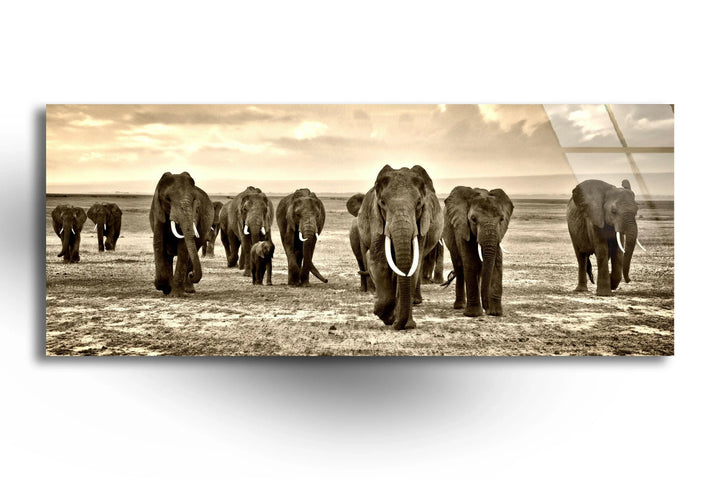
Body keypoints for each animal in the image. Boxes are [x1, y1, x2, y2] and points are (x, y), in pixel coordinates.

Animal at [349, 165, 443, 330]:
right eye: (382, 203)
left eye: (419, 203)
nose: (395, 324)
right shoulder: (377, 220)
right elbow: (379, 262)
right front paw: (386, 316)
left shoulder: (421, 225)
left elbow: (413, 266)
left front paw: (403, 323)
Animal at [443, 186, 514, 317]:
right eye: (473, 219)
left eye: (502, 219)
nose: (487, 309)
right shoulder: (463, 227)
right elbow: (470, 261)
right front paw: (473, 314)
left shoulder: (498, 233)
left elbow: (496, 263)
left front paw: (495, 313)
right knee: (459, 267)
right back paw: (459, 306)